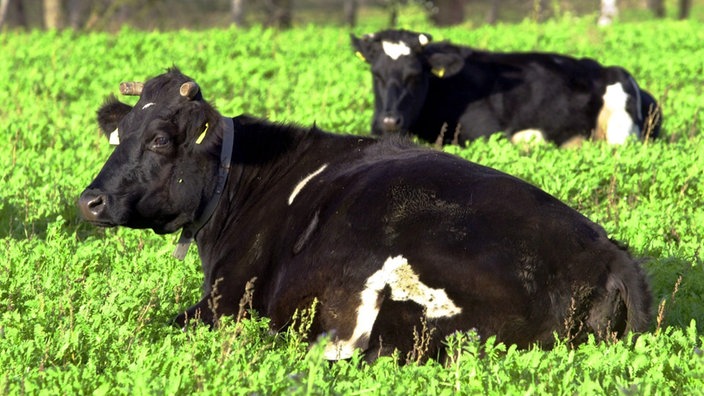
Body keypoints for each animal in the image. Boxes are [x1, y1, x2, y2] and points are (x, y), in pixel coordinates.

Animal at [80, 69, 652, 362]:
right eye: (119, 134)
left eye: (160, 139)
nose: (89, 201)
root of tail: (607, 253)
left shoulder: (223, 301)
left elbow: (167, 320)